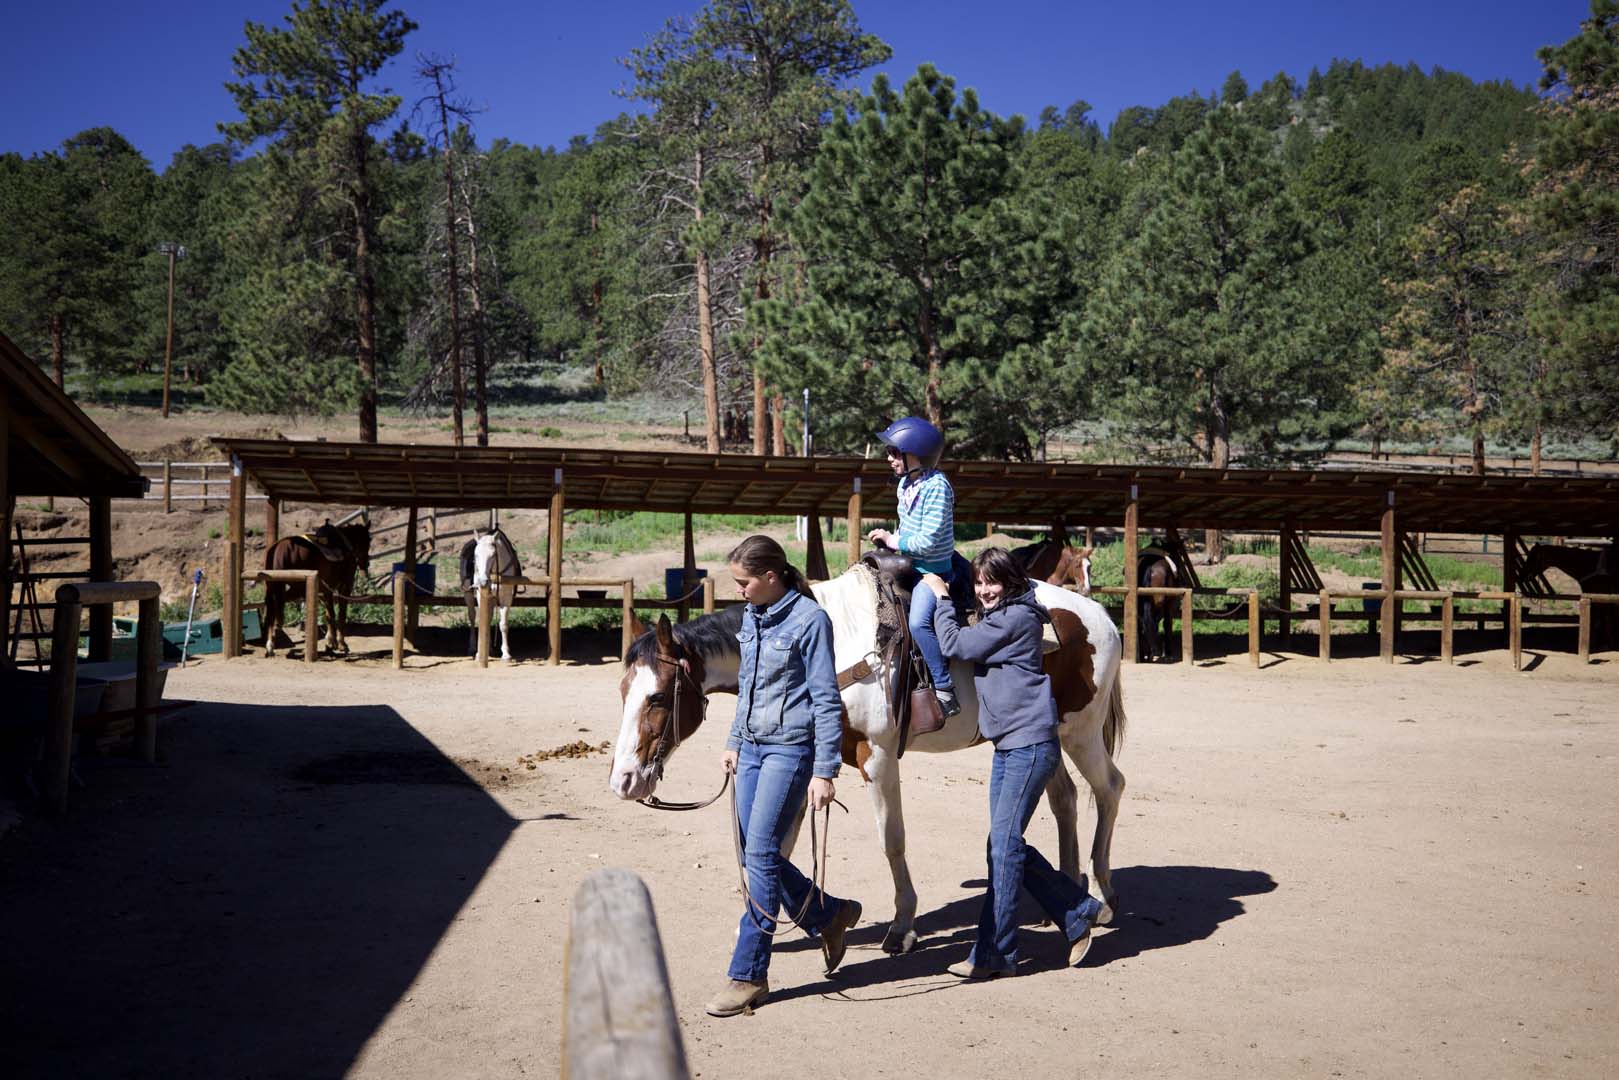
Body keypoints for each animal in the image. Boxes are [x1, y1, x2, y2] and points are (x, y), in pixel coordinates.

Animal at [260, 524, 370, 660]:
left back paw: (270, 646)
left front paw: (330, 643)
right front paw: (340, 644)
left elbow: (329, 614)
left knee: (270, 608)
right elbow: (340, 614)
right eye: (368, 540)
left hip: (273, 587)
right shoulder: (344, 588)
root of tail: (281, 546)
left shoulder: (325, 591)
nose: (366, 564)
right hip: (297, 588)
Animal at [608, 566, 1126, 952]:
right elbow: (778, 843)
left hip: (1080, 731)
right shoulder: (807, 760)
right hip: (1048, 734)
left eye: (658, 698)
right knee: (1065, 798)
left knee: (1109, 787)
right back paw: (1071, 893)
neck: (833, 643)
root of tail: (1098, 615)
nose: (624, 781)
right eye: (622, 692)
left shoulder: (877, 756)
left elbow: (891, 839)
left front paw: (902, 927)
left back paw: (1102, 896)